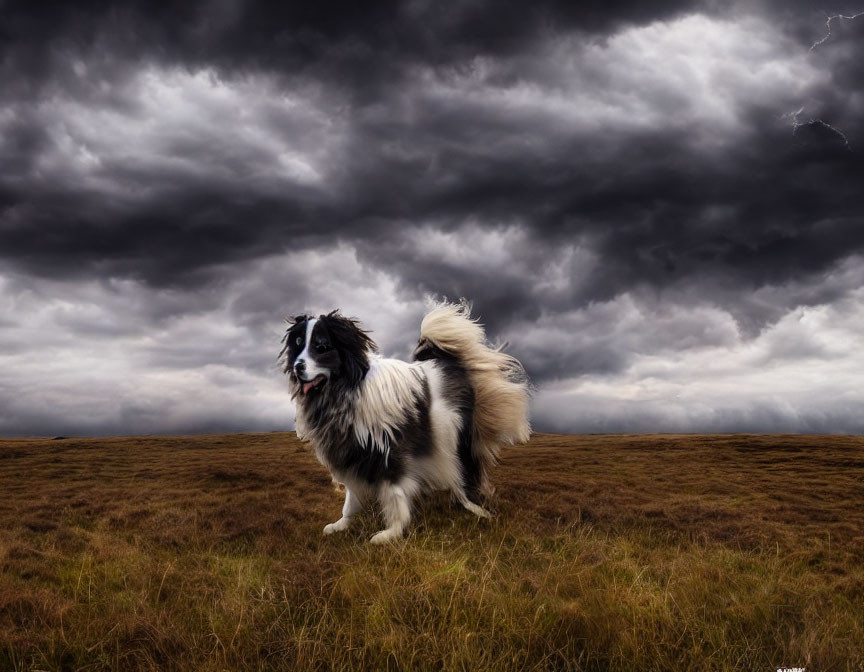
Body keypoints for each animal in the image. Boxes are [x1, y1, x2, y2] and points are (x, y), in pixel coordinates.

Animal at [280, 302, 528, 544]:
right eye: (298, 345)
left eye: (322, 347)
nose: (298, 366)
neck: (347, 388)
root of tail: (449, 362)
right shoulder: (352, 453)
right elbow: (351, 497)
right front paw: (341, 524)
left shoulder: (391, 452)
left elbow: (395, 494)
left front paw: (392, 532)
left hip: (452, 435)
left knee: (466, 469)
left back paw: (475, 507)